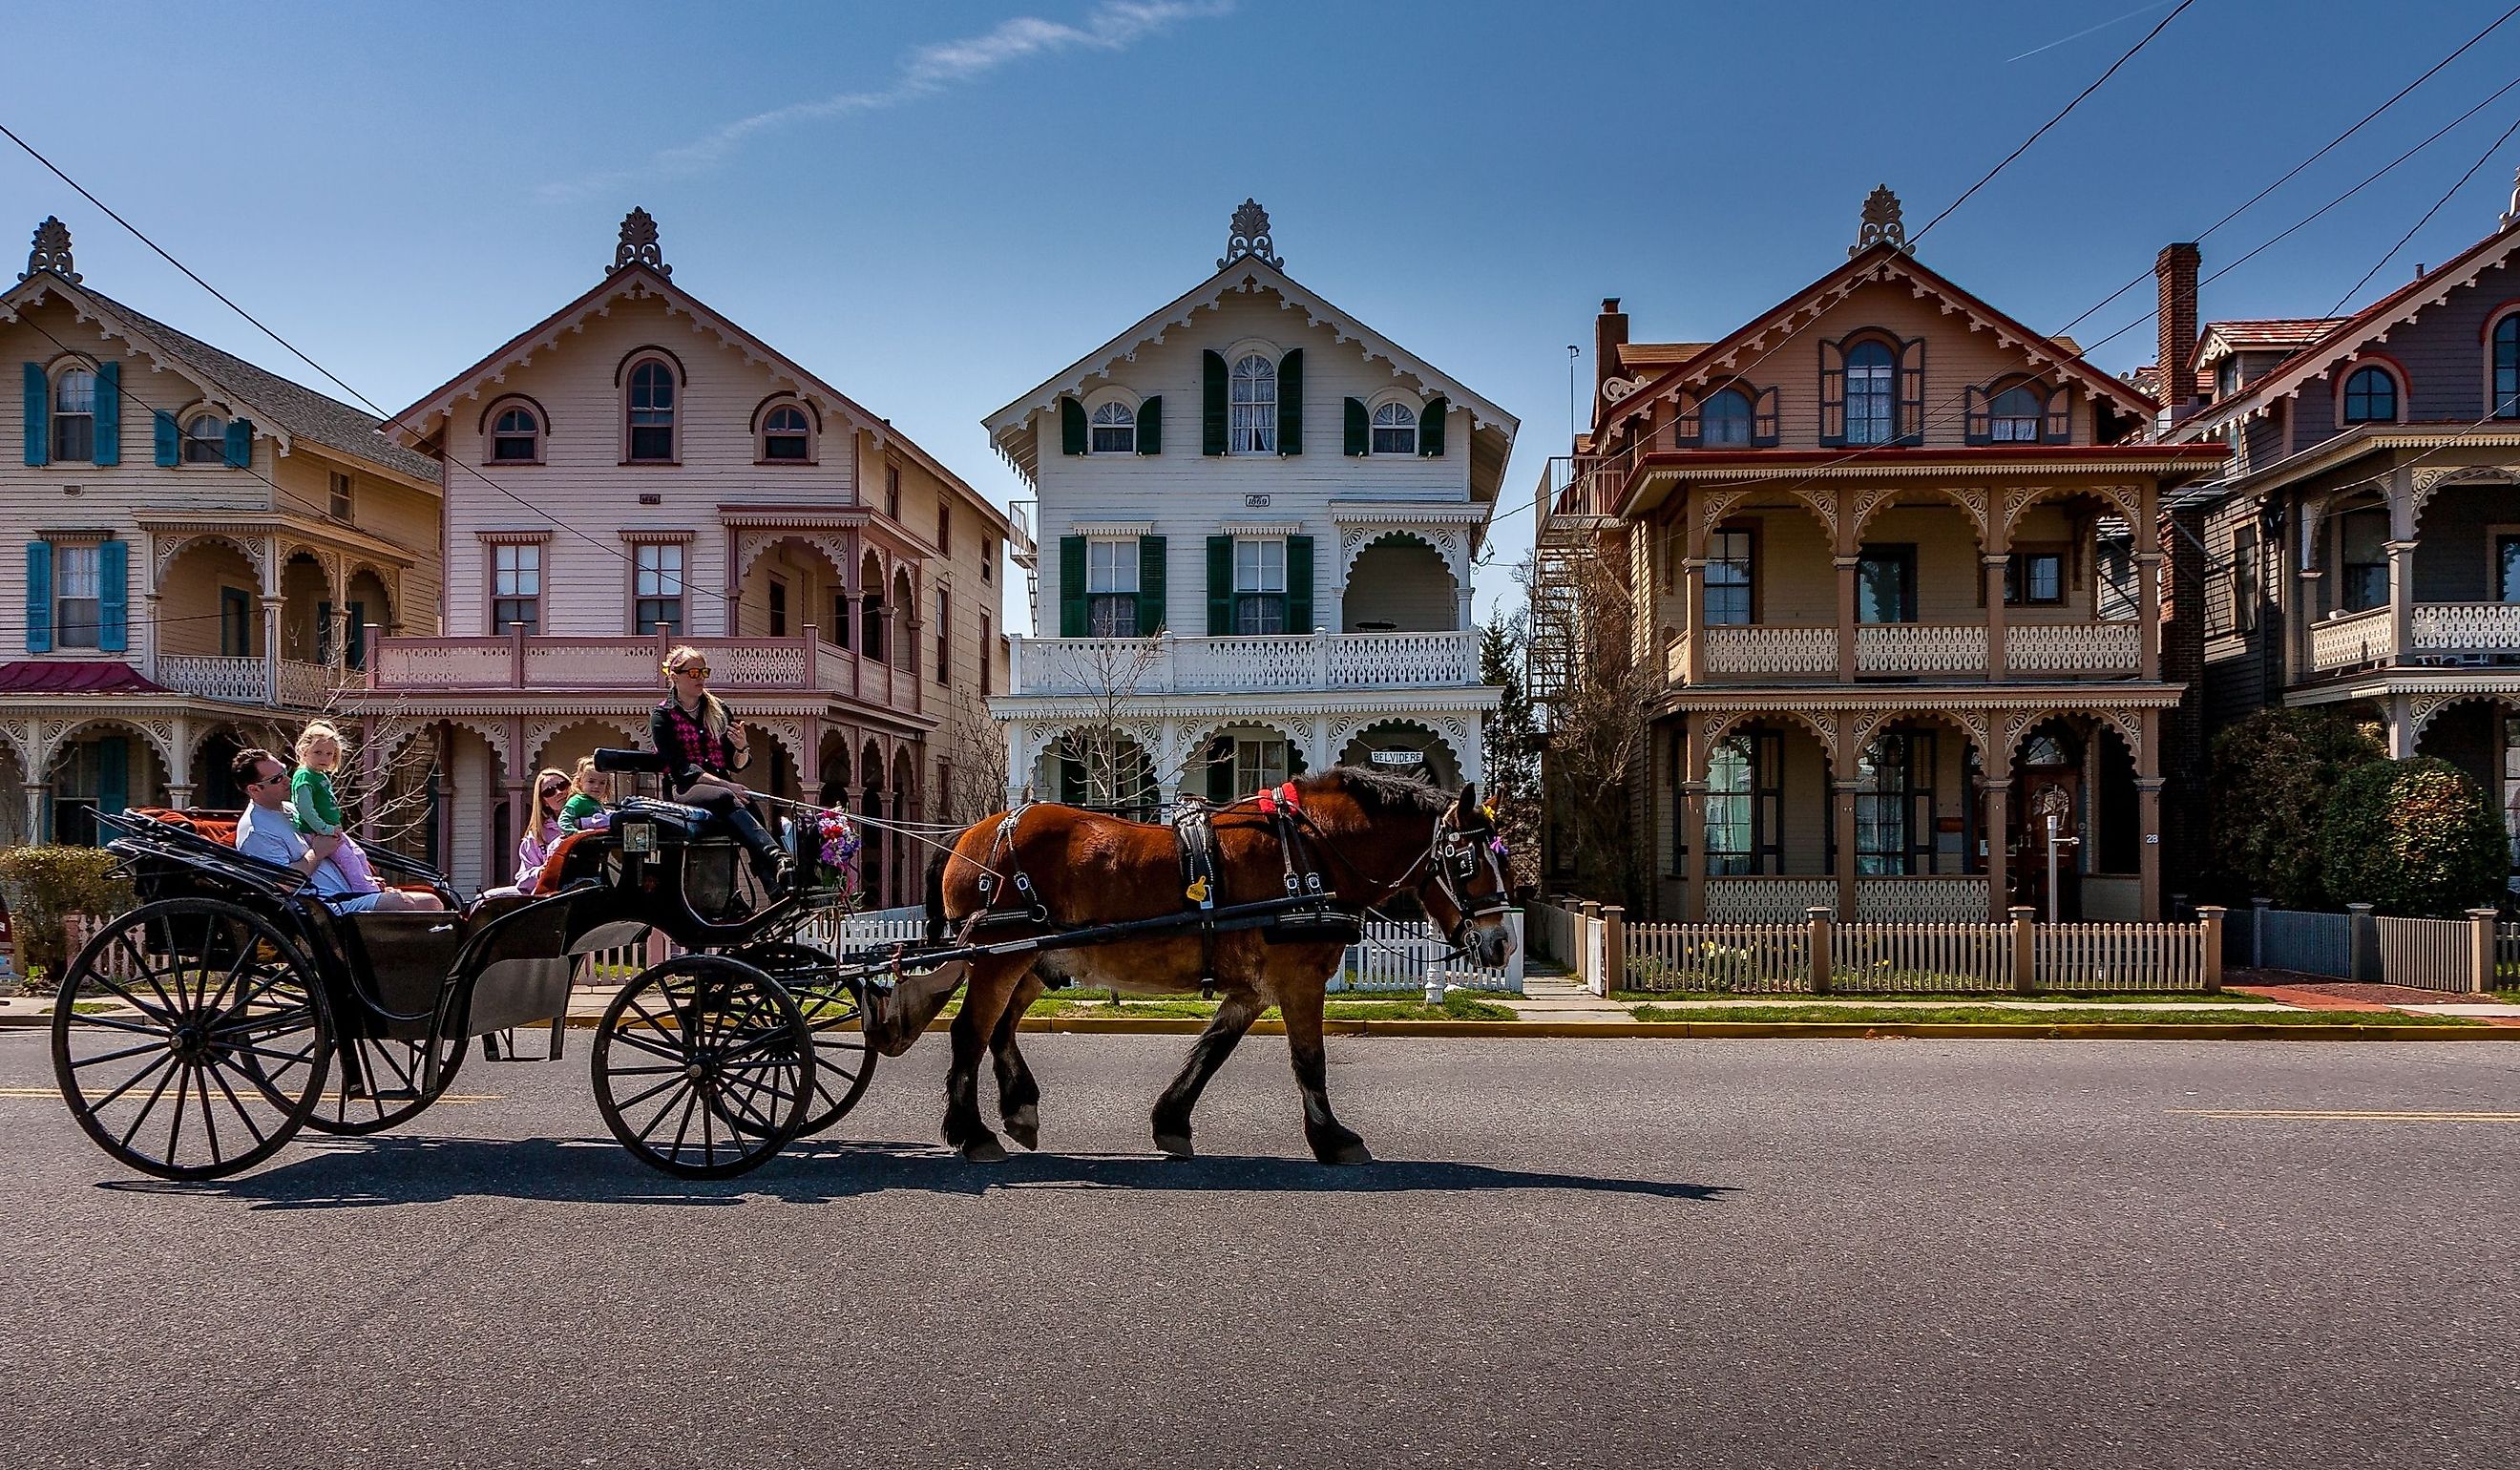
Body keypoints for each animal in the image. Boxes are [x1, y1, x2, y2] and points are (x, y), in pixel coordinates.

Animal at [856, 776, 1502, 1169]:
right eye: (1469, 861)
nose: (1498, 944)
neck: (1308, 855)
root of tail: (971, 834)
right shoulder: (1298, 979)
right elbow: (1310, 1062)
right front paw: (1334, 1139)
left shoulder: (1253, 990)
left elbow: (1211, 1051)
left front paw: (1171, 1121)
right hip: (1002, 953)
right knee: (971, 1031)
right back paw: (973, 1132)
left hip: (1036, 960)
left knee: (1001, 1029)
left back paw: (1019, 1108)